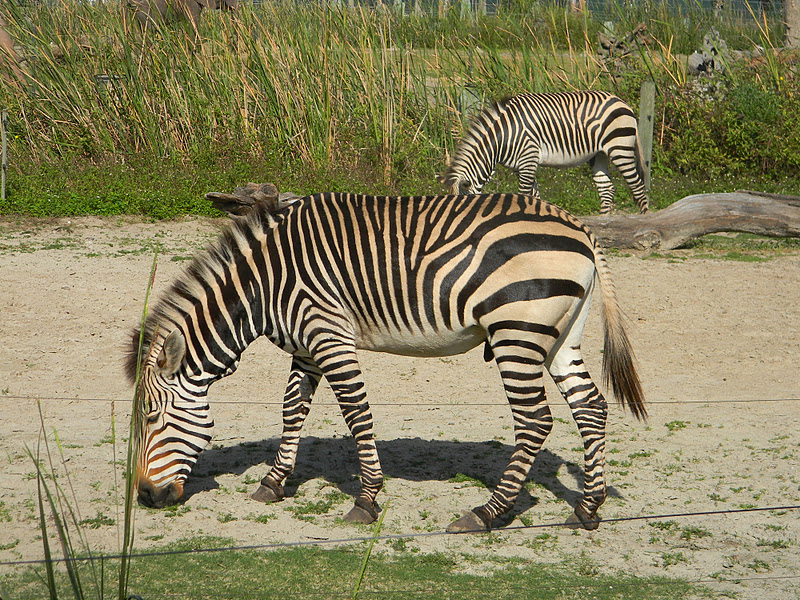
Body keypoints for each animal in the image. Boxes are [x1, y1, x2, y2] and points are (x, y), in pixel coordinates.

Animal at [126, 190, 646, 532]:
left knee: (535, 420)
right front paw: (274, 482)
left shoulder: (328, 334)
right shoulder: (306, 346)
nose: (146, 497)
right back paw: (588, 508)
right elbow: (292, 410)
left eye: (150, 417)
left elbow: (357, 414)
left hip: (517, 332)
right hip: (559, 335)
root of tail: (579, 227)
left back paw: (487, 513)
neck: (265, 284)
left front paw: (367, 498)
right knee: (591, 406)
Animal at [439, 90, 650, 215]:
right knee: (606, 188)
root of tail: (621, 102)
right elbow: (535, 196)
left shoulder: (528, 158)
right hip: (599, 154)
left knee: (638, 187)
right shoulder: (520, 166)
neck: (502, 137)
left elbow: (524, 194)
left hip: (619, 148)